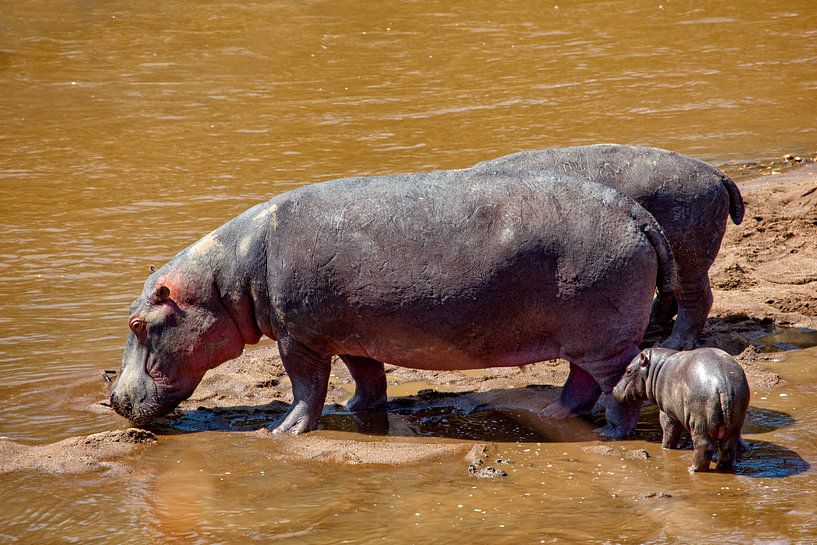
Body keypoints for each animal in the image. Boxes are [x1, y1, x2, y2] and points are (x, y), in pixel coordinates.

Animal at [110, 168, 676, 438]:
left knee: (617, 384)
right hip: (587, 338)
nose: (113, 399)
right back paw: (551, 413)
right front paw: (355, 409)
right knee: (581, 381)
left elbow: (305, 387)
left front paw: (280, 432)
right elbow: (367, 375)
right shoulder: (351, 334)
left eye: (137, 324)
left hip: (604, 339)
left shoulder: (300, 340)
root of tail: (636, 213)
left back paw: (610, 433)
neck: (229, 277)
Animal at [472, 144, 745, 349]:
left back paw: (671, 346)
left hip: (689, 252)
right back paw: (652, 324)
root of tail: (716, 173)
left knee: (696, 298)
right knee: (671, 292)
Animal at [612, 347, 750, 472]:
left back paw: (692, 469)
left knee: (704, 445)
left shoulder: (667, 412)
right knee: (728, 446)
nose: (614, 389)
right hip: (736, 420)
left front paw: (664, 448)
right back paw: (722, 468)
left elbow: (669, 431)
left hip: (699, 420)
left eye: (628, 370)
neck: (655, 369)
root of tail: (723, 384)